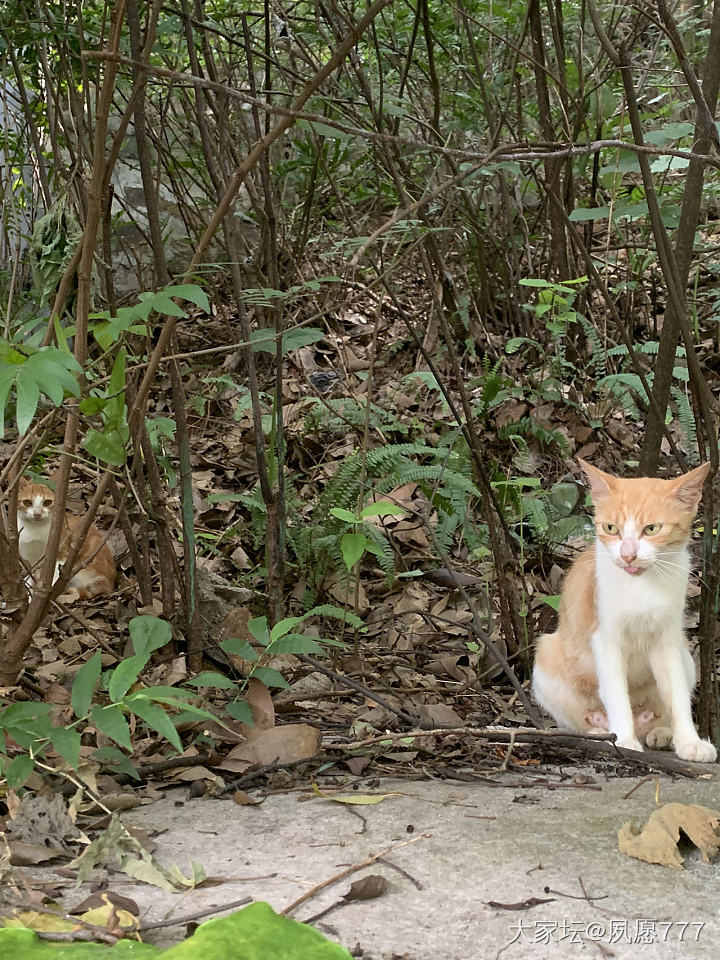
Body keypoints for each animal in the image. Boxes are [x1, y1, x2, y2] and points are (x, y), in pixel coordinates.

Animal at [532, 460, 716, 764]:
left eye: (652, 529)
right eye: (611, 528)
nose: (628, 555)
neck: (641, 586)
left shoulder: (668, 640)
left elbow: (677, 693)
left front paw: (690, 741)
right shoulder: (605, 639)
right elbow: (616, 691)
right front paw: (625, 741)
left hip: (686, 656)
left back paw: (660, 732)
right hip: (546, 657)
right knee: (576, 719)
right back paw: (601, 732)